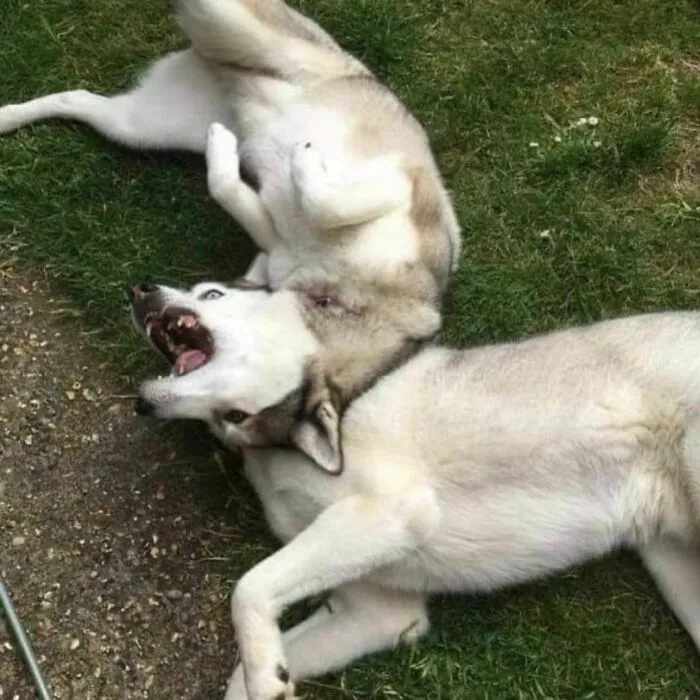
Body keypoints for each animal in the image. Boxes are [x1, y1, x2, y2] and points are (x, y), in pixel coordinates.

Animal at [131, 279, 700, 699]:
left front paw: (267, 678)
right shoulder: (379, 611)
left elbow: (247, 590)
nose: (140, 290)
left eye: (211, 294)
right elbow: (241, 675)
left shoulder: (392, 513)